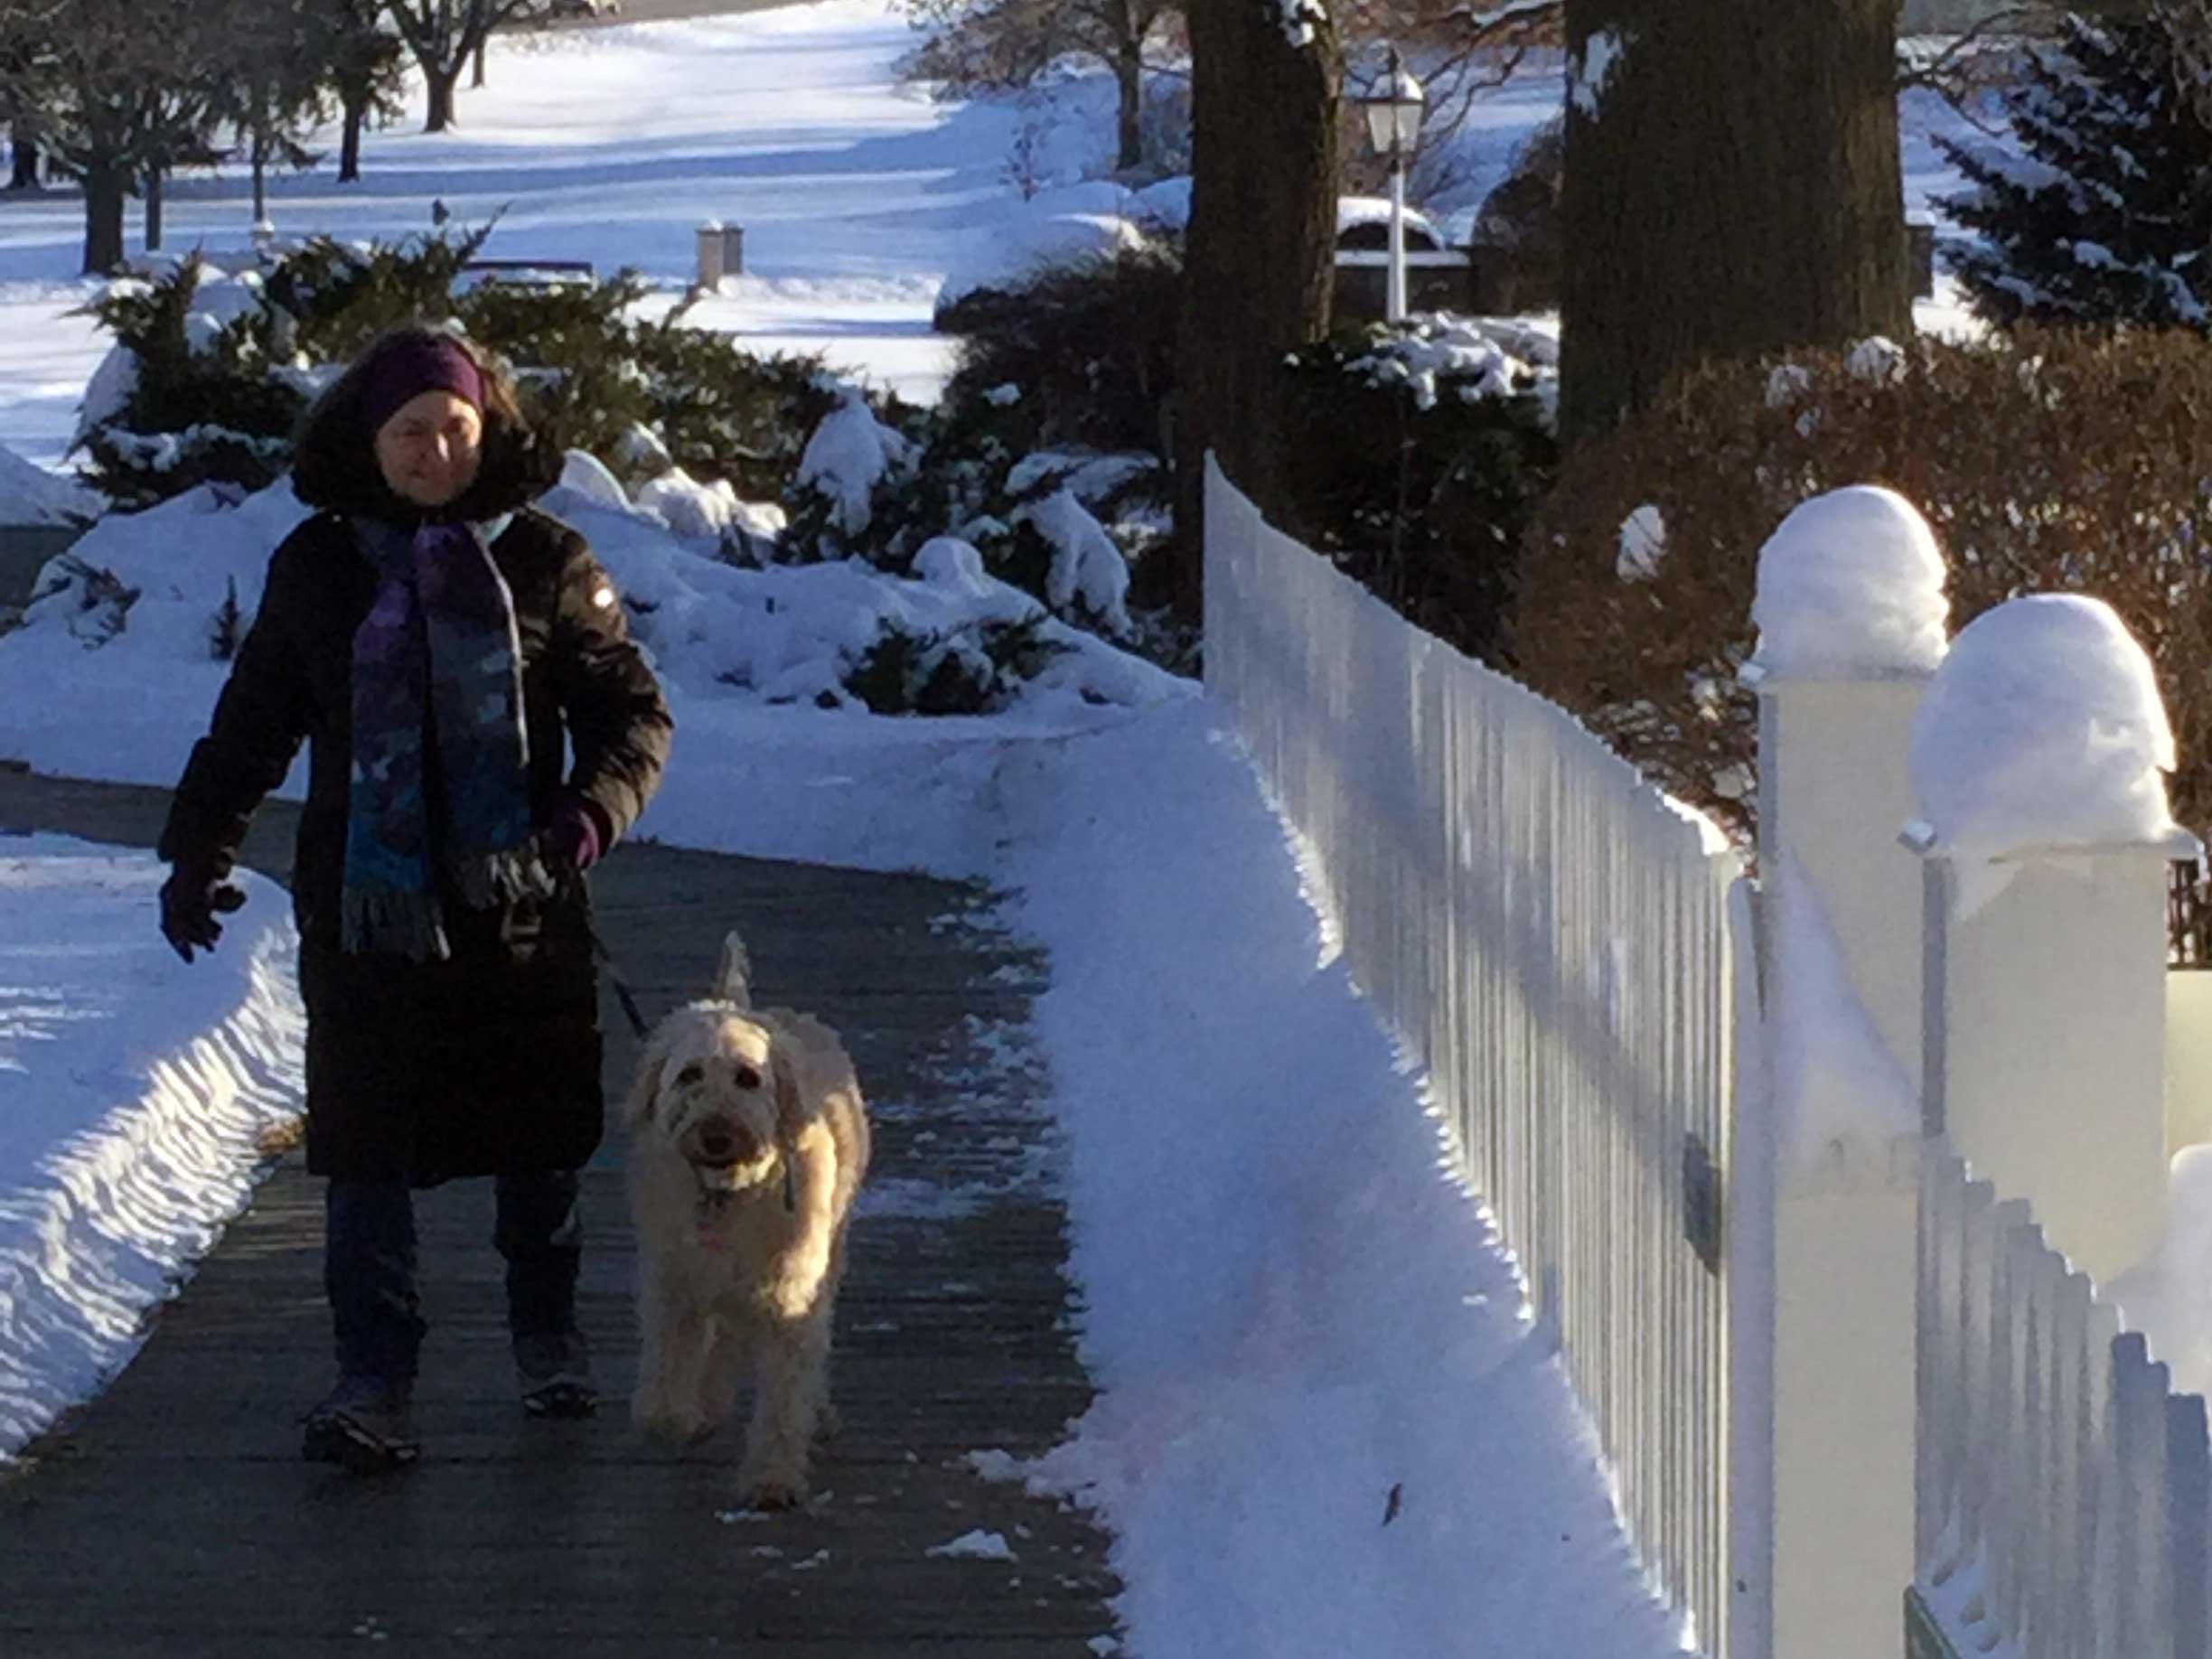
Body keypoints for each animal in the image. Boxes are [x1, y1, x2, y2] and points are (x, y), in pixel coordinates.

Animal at [628, 929, 867, 1513]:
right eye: (689, 1074)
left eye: (747, 1078)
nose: (716, 1135)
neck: (727, 1196)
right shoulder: (673, 1283)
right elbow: (669, 1370)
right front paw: (675, 1416)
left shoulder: (791, 1297)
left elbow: (784, 1396)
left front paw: (771, 1480)